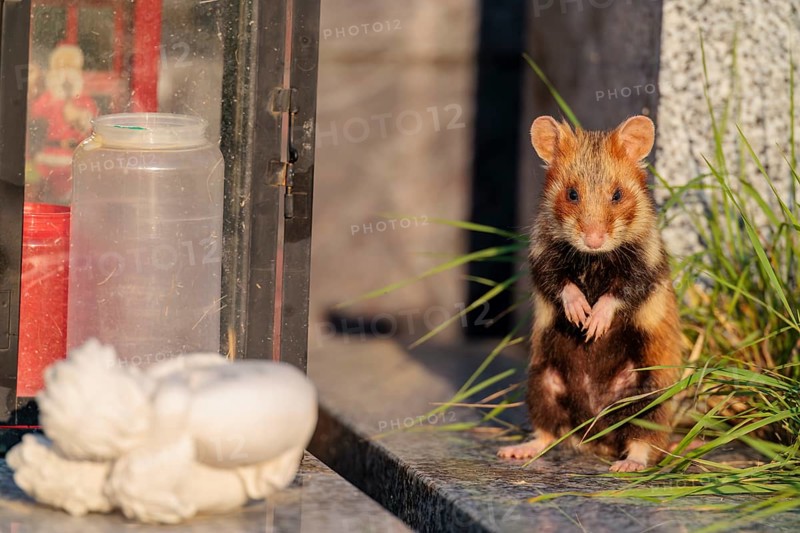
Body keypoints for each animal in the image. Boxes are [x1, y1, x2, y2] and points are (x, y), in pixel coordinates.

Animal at [497, 116, 682, 472]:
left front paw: (593, 325)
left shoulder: (645, 265)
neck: (594, 259)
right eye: (571, 194)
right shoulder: (542, 258)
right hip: (541, 382)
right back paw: (514, 451)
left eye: (617, 195)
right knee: (547, 431)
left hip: (649, 393)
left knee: (643, 440)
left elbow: (620, 293)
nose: (593, 240)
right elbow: (561, 284)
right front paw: (579, 314)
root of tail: (594, 435)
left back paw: (627, 465)